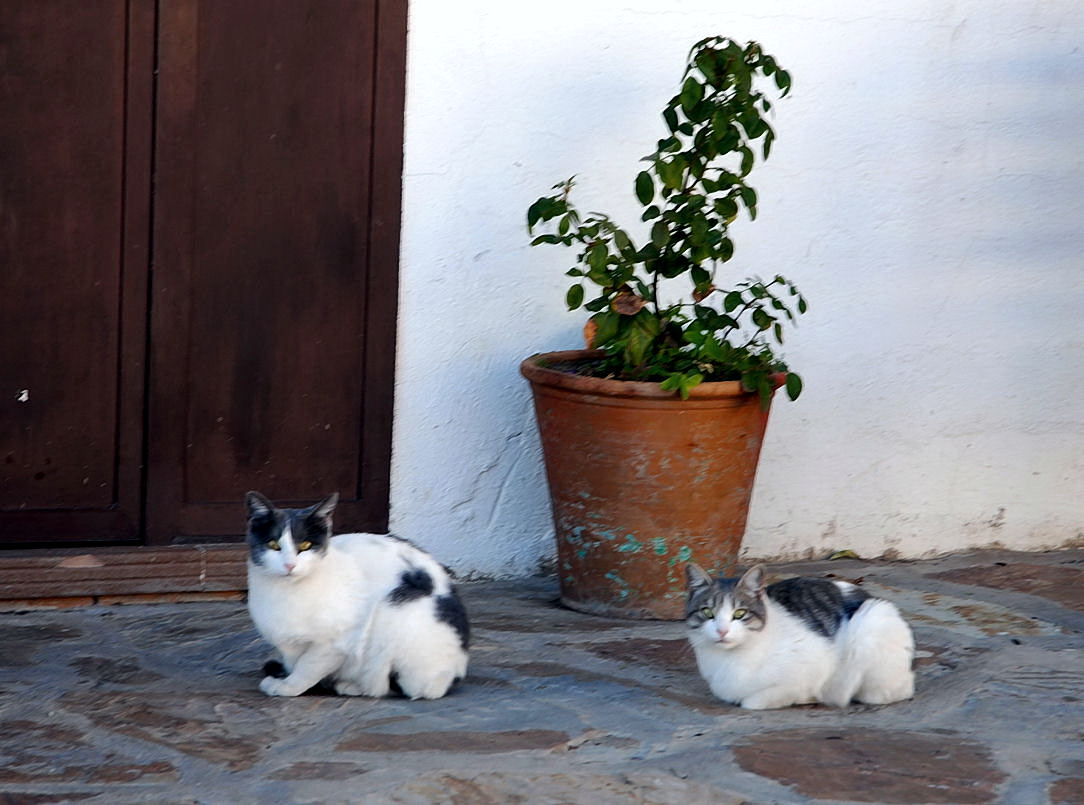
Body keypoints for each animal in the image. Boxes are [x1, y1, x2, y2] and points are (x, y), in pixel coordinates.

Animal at [243, 491, 468, 697]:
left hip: (395, 612)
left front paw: (288, 687)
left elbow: (307, 667)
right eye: (273, 545)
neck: (287, 593)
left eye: (305, 546)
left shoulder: (337, 640)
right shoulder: (289, 644)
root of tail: (454, 672)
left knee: (390, 685)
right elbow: (295, 662)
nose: (290, 565)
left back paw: (351, 686)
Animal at [685, 563, 914, 706]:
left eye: (739, 614)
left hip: (871, 624)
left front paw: (806, 697)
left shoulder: (815, 664)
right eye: (708, 612)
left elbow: (754, 701)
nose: (722, 630)